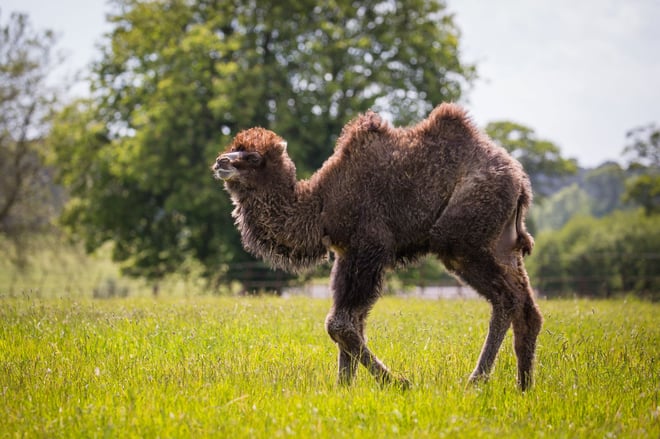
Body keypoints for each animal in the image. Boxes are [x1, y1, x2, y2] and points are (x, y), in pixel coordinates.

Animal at [211, 103, 543, 390]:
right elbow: (351, 322)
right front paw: (344, 387)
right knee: (526, 307)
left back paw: (476, 381)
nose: (220, 162)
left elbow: (340, 324)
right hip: (502, 244)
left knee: (506, 298)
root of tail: (519, 181)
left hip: (461, 239)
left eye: (253, 157)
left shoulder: (369, 246)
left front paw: (397, 382)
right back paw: (523, 386)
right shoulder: (345, 253)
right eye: (234, 147)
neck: (320, 204)